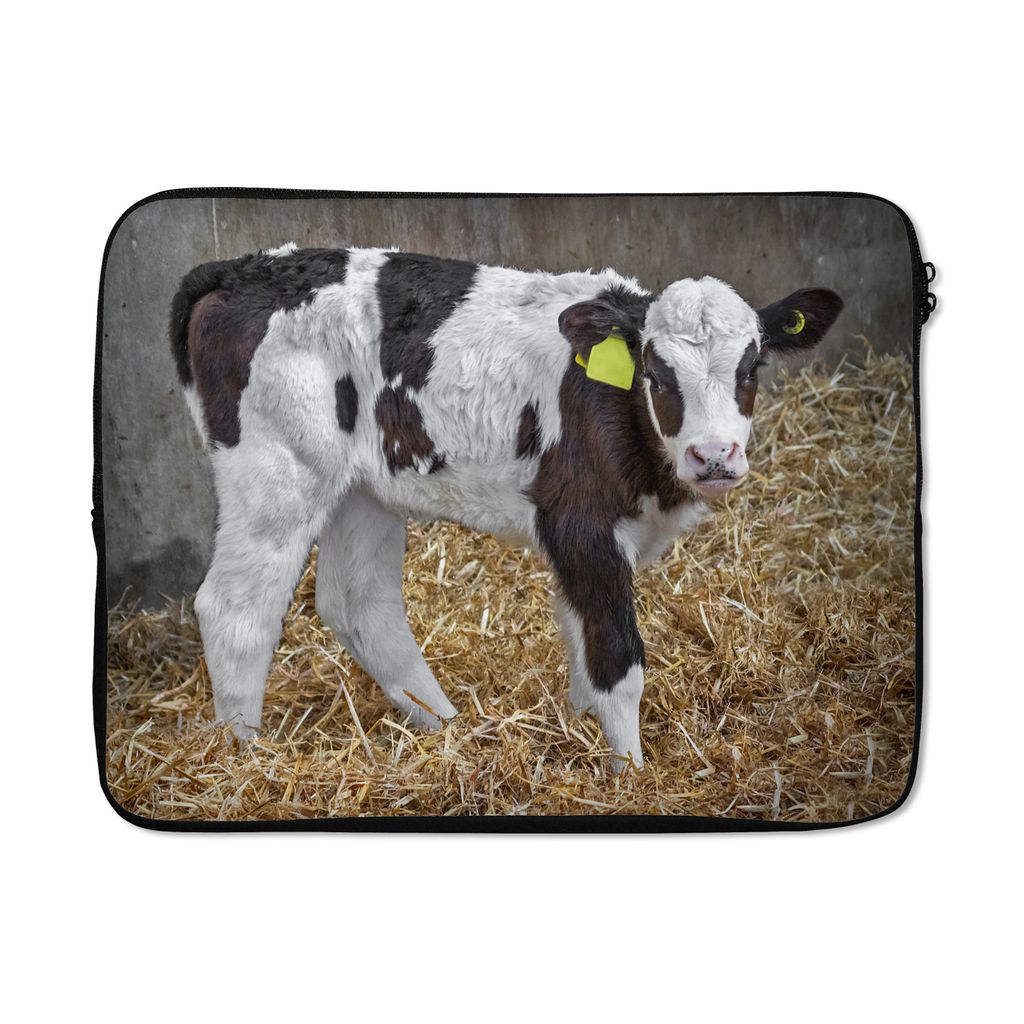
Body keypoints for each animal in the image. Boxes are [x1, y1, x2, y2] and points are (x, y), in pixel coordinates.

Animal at [170, 244, 842, 769]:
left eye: (752, 367)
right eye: (655, 372)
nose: (714, 455)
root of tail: (239, 269)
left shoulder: (584, 545)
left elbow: (582, 646)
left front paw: (583, 742)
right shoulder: (578, 522)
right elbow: (617, 659)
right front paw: (630, 773)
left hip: (361, 487)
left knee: (359, 602)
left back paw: (448, 730)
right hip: (277, 471)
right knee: (236, 610)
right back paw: (245, 761)